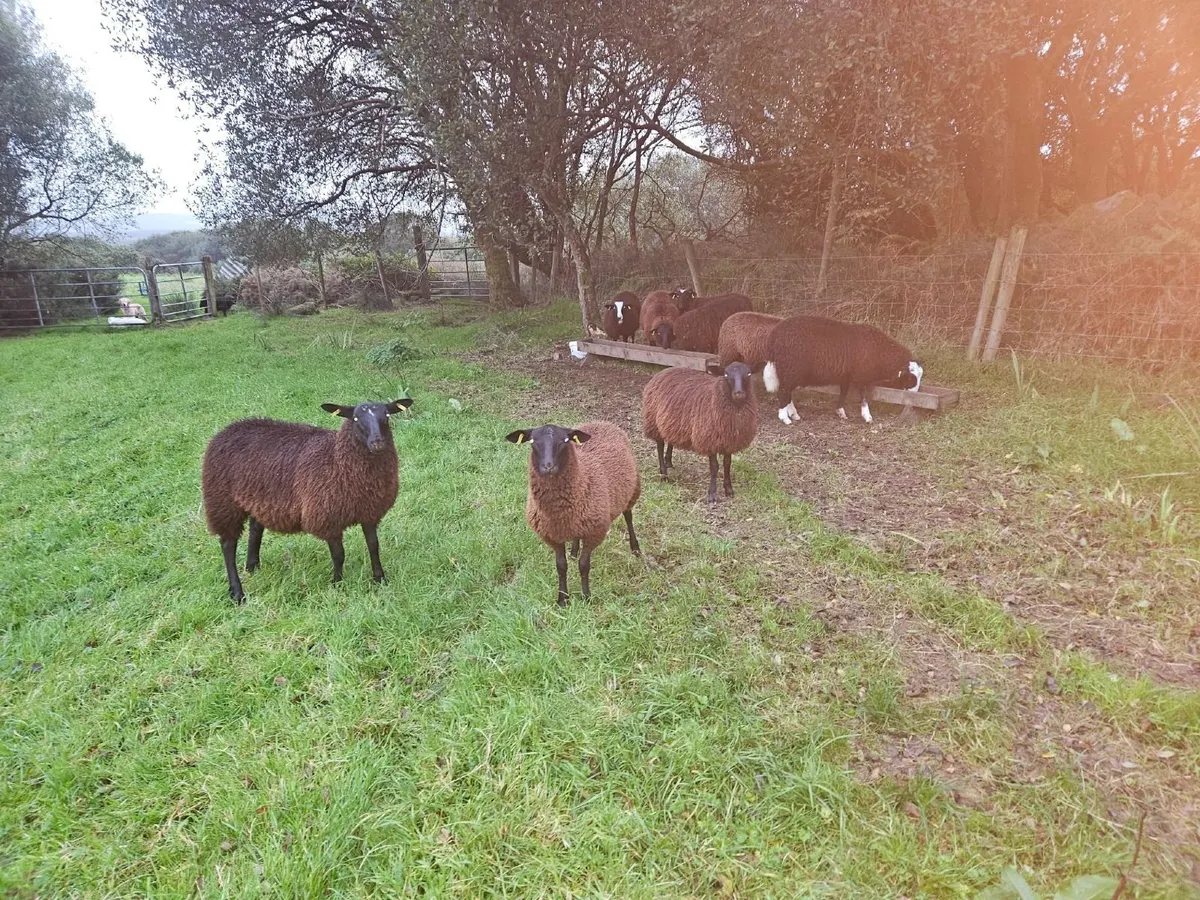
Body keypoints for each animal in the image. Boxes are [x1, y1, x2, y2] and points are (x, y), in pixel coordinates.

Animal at [201, 398, 413, 603]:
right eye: (355, 418)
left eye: (386, 415)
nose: (377, 443)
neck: (336, 459)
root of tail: (229, 428)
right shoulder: (327, 517)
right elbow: (339, 555)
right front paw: (337, 584)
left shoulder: (369, 512)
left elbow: (374, 546)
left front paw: (379, 579)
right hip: (222, 501)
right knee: (228, 545)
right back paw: (237, 593)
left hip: (258, 499)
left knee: (255, 529)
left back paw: (252, 567)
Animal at [506, 421, 641, 606]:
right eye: (533, 442)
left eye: (565, 441)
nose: (548, 467)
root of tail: (602, 422)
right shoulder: (552, 535)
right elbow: (561, 566)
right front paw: (562, 599)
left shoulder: (594, 532)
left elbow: (584, 565)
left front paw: (586, 597)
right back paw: (574, 552)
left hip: (632, 489)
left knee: (628, 516)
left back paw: (636, 549)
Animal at [641, 362, 757, 504]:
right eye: (725, 374)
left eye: (749, 374)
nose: (739, 393)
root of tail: (664, 371)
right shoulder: (709, 440)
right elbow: (714, 467)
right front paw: (712, 495)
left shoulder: (728, 440)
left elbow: (727, 464)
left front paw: (729, 489)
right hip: (654, 421)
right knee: (659, 445)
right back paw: (664, 474)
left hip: (672, 422)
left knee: (670, 440)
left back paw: (668, 462)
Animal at [761, 315, 923, 425]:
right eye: (910, 378)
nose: (915, 395)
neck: (880, 351)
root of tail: (774, 336)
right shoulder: (861, 376)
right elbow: (864, 396)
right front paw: (867, 416)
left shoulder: (846, 376)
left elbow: (844, 393)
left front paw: (841, 412)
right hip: (790, 369)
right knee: (783, 392)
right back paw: (785, 418)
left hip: (790, 372)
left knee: (787, 393)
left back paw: (793, 414)